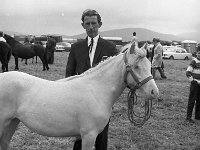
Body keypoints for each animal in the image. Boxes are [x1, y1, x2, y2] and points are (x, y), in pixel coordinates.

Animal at [0, 41, 158, 149]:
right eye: (136, 66)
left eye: (149, 65)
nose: (154, 92)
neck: (97, 91)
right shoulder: (89, 135)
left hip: (12, 122)